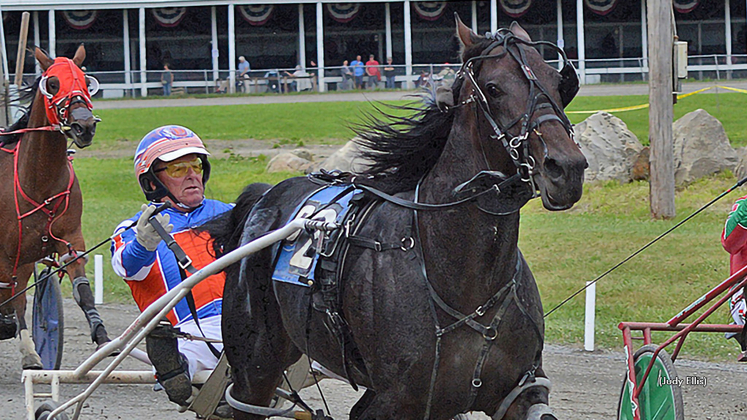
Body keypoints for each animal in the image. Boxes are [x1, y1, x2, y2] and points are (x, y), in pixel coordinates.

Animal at [0, 44, 109, 370]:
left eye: (86, 83)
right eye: (52, 84)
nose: (84, 126)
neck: (39, 181)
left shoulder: (69, 238)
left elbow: (82, 289)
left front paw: (101, 335)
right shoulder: (8, 252)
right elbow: (13, 296)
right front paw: (27, 349)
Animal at [216, 19, 592, 420]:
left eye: (558, 82)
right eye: (493, 88)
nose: (566, 167)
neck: (463, 284)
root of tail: (267, 194)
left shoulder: (518, 392)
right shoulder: (394, 400)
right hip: (256, 366)